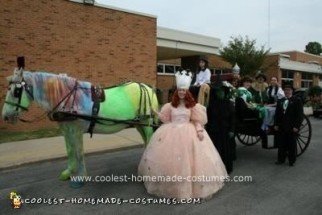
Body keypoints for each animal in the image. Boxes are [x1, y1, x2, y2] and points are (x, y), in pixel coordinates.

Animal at [1, 67, 159, 186]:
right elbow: (70, 150)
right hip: (138, 123)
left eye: (16, 91)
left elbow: (78, 152)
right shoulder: (66, 129)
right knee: (146, 141)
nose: (5, 116)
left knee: (150, 139)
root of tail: (148, 87)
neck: (69, 98)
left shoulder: (76, 129)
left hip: (146, 122)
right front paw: (69, 172)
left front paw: (81, 177)